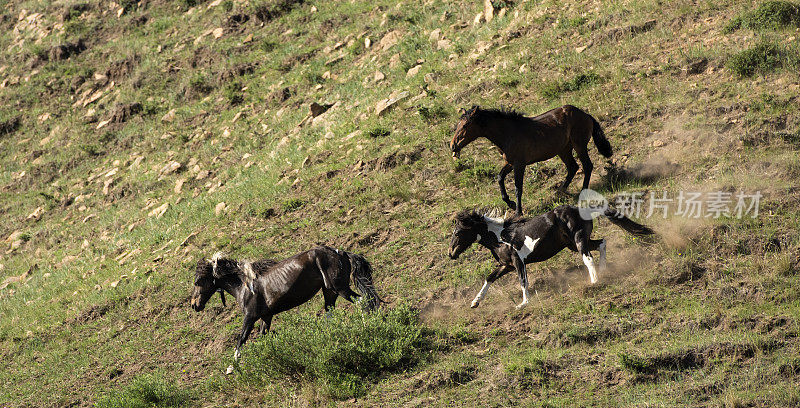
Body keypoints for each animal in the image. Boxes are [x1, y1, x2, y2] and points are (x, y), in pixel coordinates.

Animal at [192, 244, 382, 372]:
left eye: (198, 281)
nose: (195, 305)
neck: (244, 285)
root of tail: (341, 253)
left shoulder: (250, 317)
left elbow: (241, 340)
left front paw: (231, 368)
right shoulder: (266, 317)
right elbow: (262, 338)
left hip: (340, 288)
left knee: (363, 301)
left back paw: (367, 327)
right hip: (330, 292)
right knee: (333, 313)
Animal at [446, 206, 652, 308]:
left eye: (457, 233)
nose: (451, 254)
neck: (501, 237)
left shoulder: (518, 262)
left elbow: (523, 281)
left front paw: (523, 304)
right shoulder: (506, 265)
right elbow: (489, 278)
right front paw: (475, 302)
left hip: (578, 240)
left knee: (588, 258)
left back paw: (594, 282)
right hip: (572, 244)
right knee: (602, 243)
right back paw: (603, 271)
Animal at [450, 105, 612, 214]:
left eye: (466, 125)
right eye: (457, 125)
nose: (452, 146)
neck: (508, 134)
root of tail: (586, 115)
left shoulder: (519, 164)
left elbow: (518, 187)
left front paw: (518, 211)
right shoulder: (510, 163)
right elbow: (500, 178)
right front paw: (510, 203)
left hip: (579, 145)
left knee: (587, 166)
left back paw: (582, 192)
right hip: (564, 150)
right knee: (573, 167)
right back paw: (559, 191)